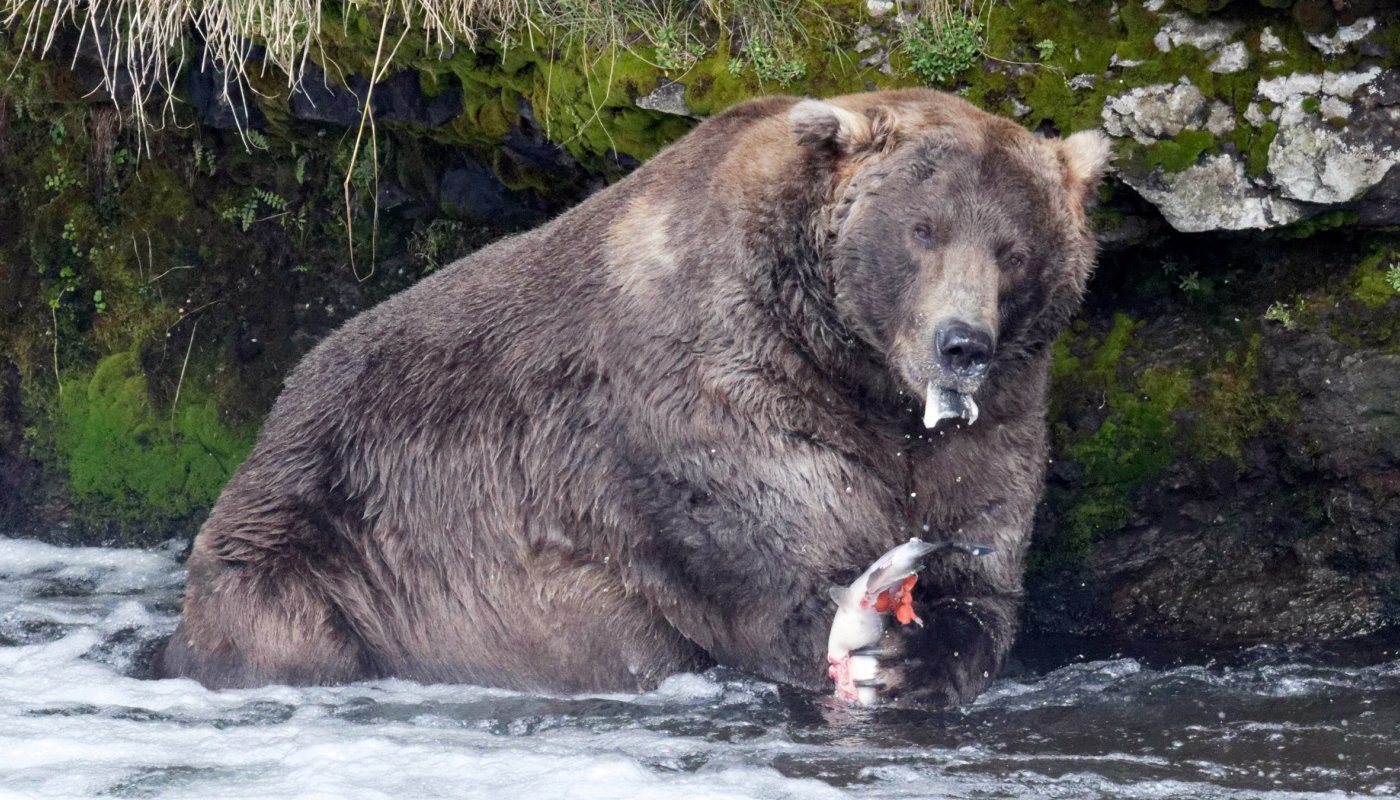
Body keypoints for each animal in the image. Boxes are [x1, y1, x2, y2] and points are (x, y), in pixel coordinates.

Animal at [158, 89, 1108, 706]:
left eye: (1012, 248)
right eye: (922, 230)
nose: (963, 345)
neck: (860, 373)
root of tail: (275, 411)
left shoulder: (989, 426)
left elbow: (982, 571)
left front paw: (923, 654)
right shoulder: (708, 398)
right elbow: (766, 560)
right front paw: (863, 634)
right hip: (323, 541)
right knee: (279, 625)